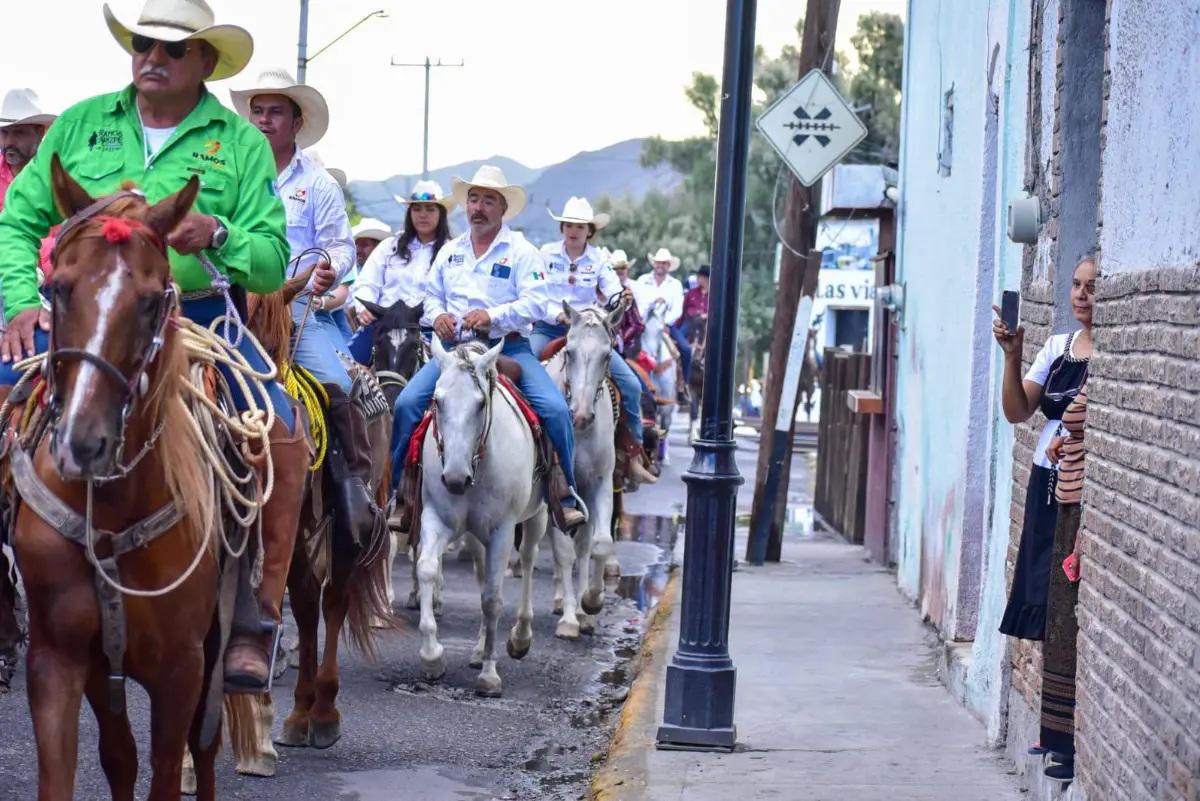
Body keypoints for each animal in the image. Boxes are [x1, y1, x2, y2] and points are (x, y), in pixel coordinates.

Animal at [413, 338, 549, 697]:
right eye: (437, 401)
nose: (455, 479)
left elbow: (492, 598)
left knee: (527, 559)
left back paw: (520, 637)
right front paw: (432, 657)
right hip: (475, 536)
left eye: (480, 404)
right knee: (481, 572)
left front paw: (489, 674)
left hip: (537, 516)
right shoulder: (437, 518)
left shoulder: (503, 530)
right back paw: (475, 649)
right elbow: (427, 569)